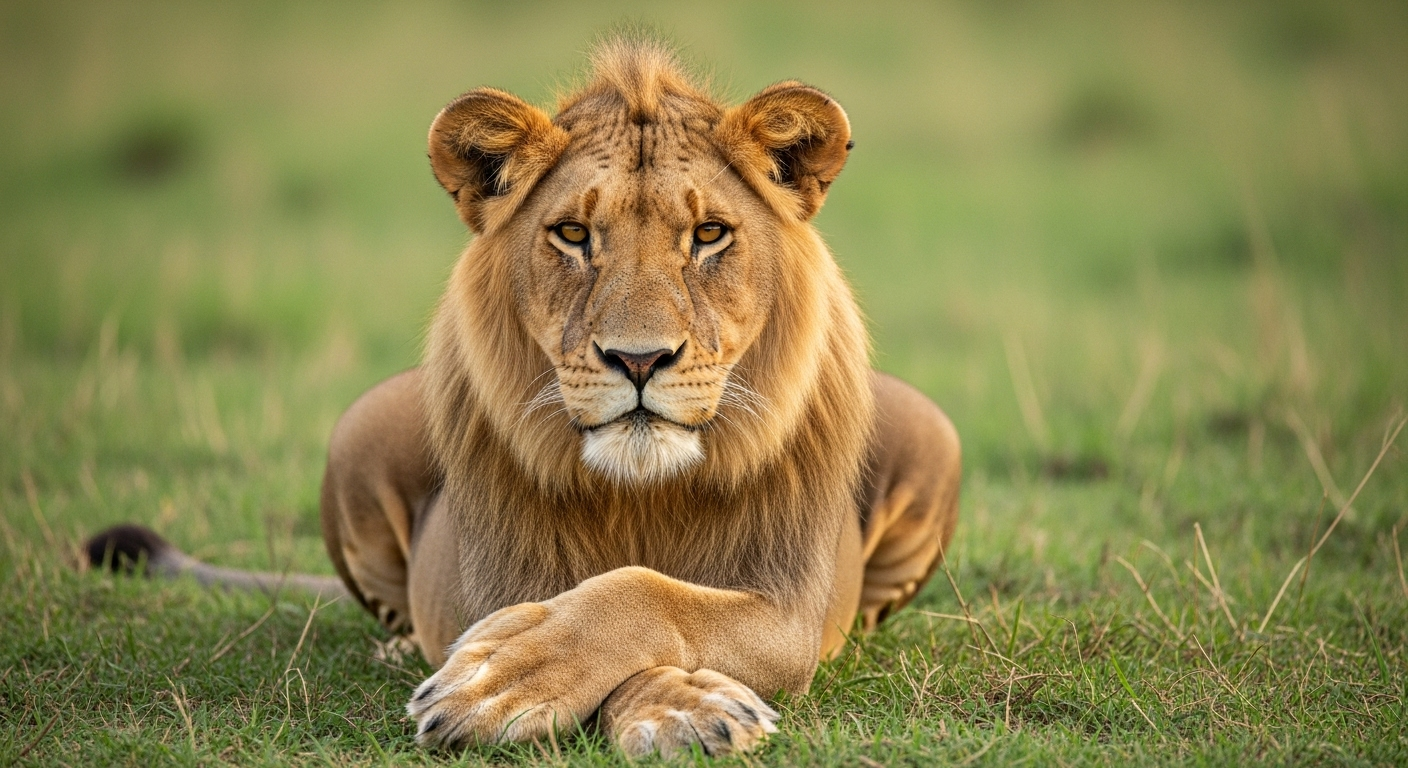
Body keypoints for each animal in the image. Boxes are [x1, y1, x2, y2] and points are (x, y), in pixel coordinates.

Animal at [87, 39, 961, 758]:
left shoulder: (789, 608)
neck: (642, 493)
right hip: (356, 433)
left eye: (709, 235)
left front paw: (545, 685)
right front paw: (529, 680)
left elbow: (646, 592)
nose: (638, 359)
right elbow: (608, 603)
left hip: (933, 432)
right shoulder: (503, 583)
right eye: (572, 235)